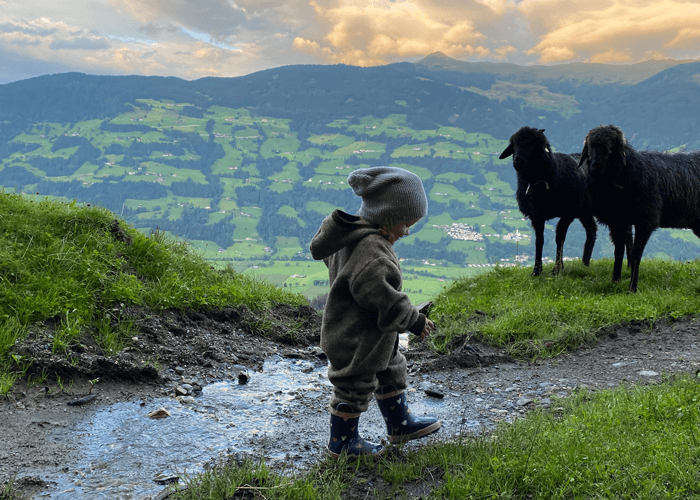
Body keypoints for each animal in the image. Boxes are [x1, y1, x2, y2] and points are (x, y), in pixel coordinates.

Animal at [498, 127, 596, 276]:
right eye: (513, 145)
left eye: (533, 144)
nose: (517, 161)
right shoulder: (536, 214)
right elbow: (539, 240)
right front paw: (537, 270)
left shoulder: (567, 213)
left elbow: (559, 238)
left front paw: (557, 269)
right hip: (584, 211)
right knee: (591, 231)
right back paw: (585, 264)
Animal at [576, 122, 700, 292]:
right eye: (589, 146)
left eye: (610, 146)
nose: (595, 167)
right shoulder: (618, 221)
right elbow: (618, 252)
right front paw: (615, 281)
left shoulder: (645, 220)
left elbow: (636, 254)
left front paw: (632, 288)